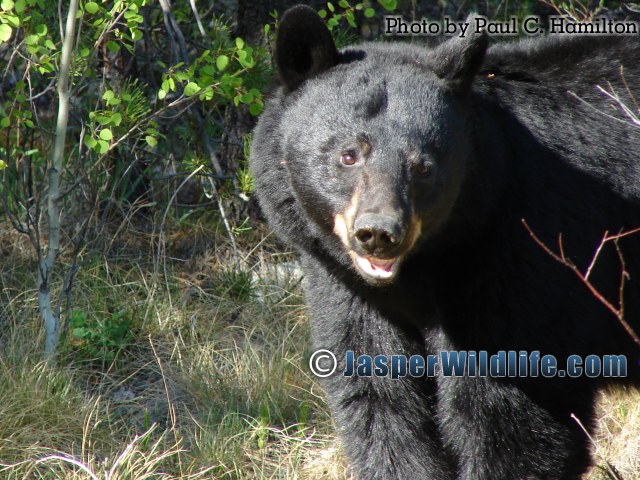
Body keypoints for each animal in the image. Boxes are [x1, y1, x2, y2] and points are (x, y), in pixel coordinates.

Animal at [249, 4, 640, 480]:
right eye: (349, 154)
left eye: (422, 166)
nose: (378, 232)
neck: (425, 268)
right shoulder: (346, 287)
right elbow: (380, 403)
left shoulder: (515, 262)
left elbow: (510, 418)